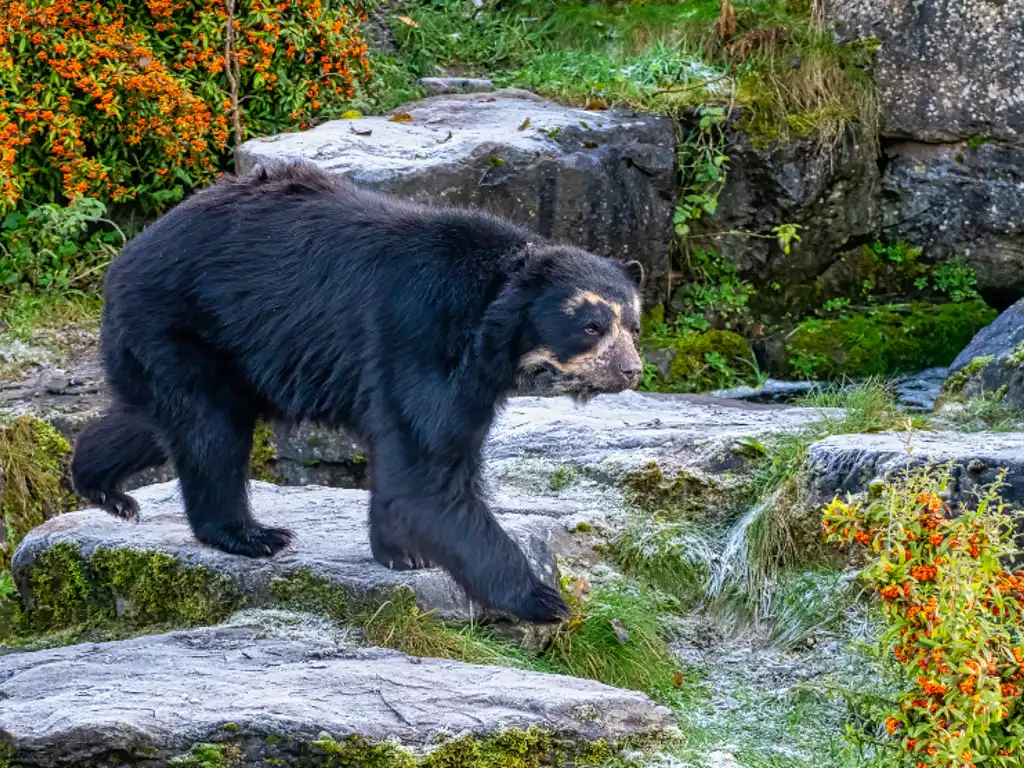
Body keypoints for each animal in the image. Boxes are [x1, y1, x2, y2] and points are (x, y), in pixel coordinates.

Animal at [71, 162, 646, 624]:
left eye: (633, 325)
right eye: (592, 326)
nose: (631, 371)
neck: (492, 328)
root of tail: (123, 261)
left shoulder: (472, 378)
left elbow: (415, 463)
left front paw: (402, 553)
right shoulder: (421, 335)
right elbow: (428, 472)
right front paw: (543, 598)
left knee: (158, 419)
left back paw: (102, 486)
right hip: (183, 324)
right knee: (209, 431)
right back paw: (252, 535)